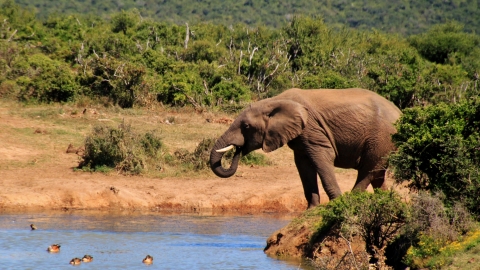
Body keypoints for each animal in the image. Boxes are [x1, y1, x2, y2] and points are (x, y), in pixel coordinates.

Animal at [210, 88, 402, 209]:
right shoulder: (300, 138)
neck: (274, 101)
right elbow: (304, 166)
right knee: (377, 174)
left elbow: (322, 158)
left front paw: (336, 204)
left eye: (246, 126)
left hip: (382, 137)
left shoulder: (312, 129)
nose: (238, 149)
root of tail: (400, 112)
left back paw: (351, 200)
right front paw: (311, 209)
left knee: (368, 169)